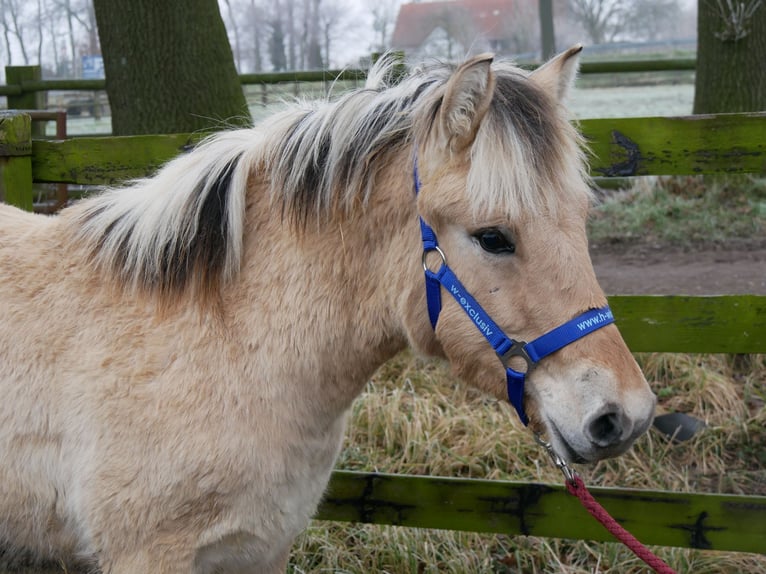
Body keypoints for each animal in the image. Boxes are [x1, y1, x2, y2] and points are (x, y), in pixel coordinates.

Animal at [0, 47, 656, 572]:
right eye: (493, 237)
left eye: (581, 219)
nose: (624, 415)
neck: (223, 342)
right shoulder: (148, 555)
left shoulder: (260, 549)